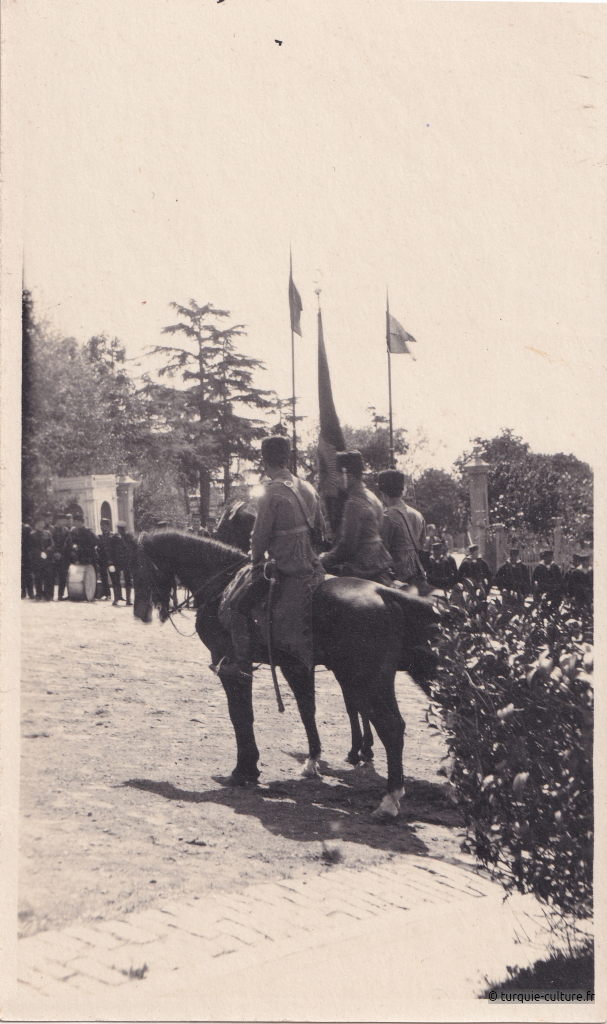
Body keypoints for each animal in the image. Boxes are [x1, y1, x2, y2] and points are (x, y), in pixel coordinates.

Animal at [133, 532, 438, 819]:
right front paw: (307, 761)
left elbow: (240, 716)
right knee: (392, 723)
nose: (140, 613)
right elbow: (305, 710)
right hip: (379, 678)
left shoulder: (229, 665)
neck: (220, 585)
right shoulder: (294, 666)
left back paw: (389, 800)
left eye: (139, 566)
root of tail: (385, 593)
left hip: (365, 678)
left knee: (390, 726)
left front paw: (243, 770)